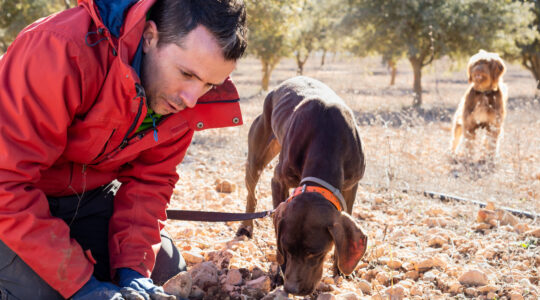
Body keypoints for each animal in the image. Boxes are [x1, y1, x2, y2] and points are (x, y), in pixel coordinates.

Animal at [236, 75, 368, 296]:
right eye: (287, 249)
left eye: (315, 253)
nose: (292, 288)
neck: (327, 139)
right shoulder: (278, 181)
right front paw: (279, 274)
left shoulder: (351, 186)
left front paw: (341, 271)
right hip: (256, 159)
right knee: (251, 195)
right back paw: (245, 227)